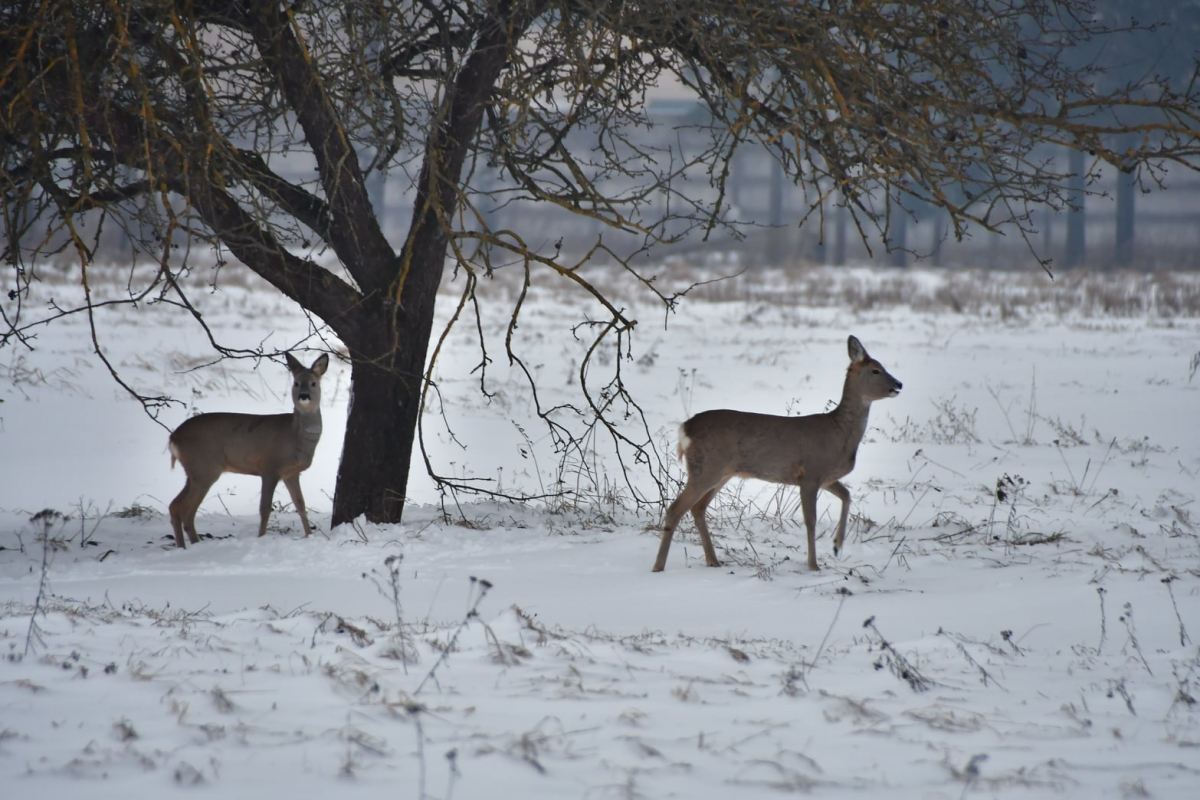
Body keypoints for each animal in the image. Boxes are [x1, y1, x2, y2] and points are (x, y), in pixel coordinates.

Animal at [166, 352, 331, 546]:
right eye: (296, 383)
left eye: (313, 383)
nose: (304, 396)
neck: (295, 436)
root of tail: (174, 437)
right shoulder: (269, 467)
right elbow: (265, 507)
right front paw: (261, 538)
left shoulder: (291, 472)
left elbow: (300, 504)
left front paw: (309, 535)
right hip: (204, 468)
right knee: (186, 509)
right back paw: (195, 544)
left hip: (193, 471)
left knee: (174, 505)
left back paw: (182, 546)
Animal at [657, 335, 902, 573]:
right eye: (876, 370)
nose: (899, 383)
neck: (838, 433)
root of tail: (685, 428)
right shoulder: (811, 474)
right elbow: (810, 520)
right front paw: (814, 566)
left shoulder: (826, 477)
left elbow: (847, 496)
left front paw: (836, 546)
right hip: (706, 468)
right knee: (675, 509)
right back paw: (659, 566)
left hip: (722, 472)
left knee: (698, 508)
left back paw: (713, 561)